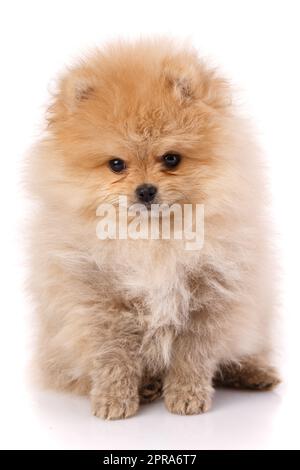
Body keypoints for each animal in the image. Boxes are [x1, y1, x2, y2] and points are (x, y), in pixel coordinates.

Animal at [27, 39, 280, 418]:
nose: (145, 190)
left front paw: (187, 395)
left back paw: (254, 373)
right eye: (117, 164)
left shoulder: (209, 294)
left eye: (171, 159)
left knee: (238, 352)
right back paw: (146, 387)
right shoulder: (100, 302)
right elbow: (113, 357)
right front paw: (114, 399)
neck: (154, 239)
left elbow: (194, 356)